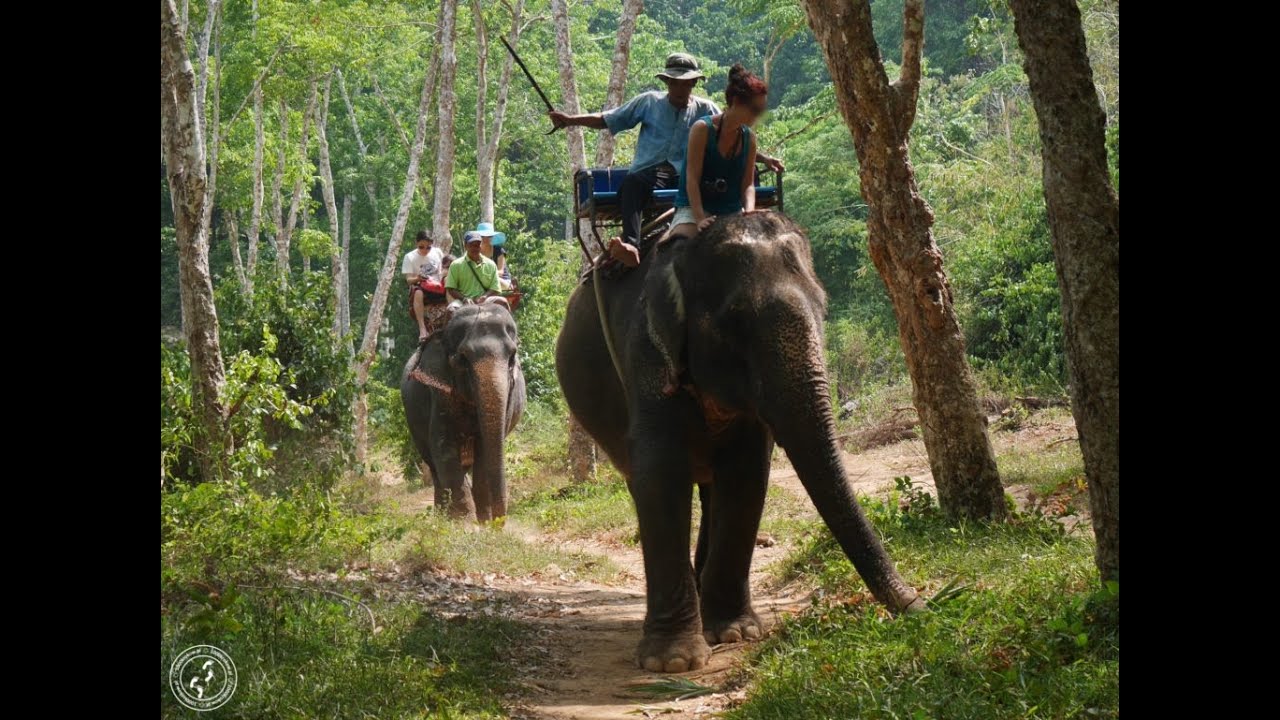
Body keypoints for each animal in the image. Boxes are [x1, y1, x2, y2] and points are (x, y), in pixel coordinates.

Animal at [401, 300, 526, 521]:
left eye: (512, 356)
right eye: (462, 358)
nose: (500, 521)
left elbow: (485, 451)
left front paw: (484, 521)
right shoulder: (439, 391)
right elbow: (444, 448)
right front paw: (466, 523)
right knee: (434, 465)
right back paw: (443, 517)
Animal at [555, 212, 924, 673]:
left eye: (822, 308)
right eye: (735, 321)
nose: (918, 604)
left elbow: (746, 473)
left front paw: (735, 633)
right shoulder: (646, 353)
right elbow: (659, 474)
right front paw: (673, 662)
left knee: (713, 487)